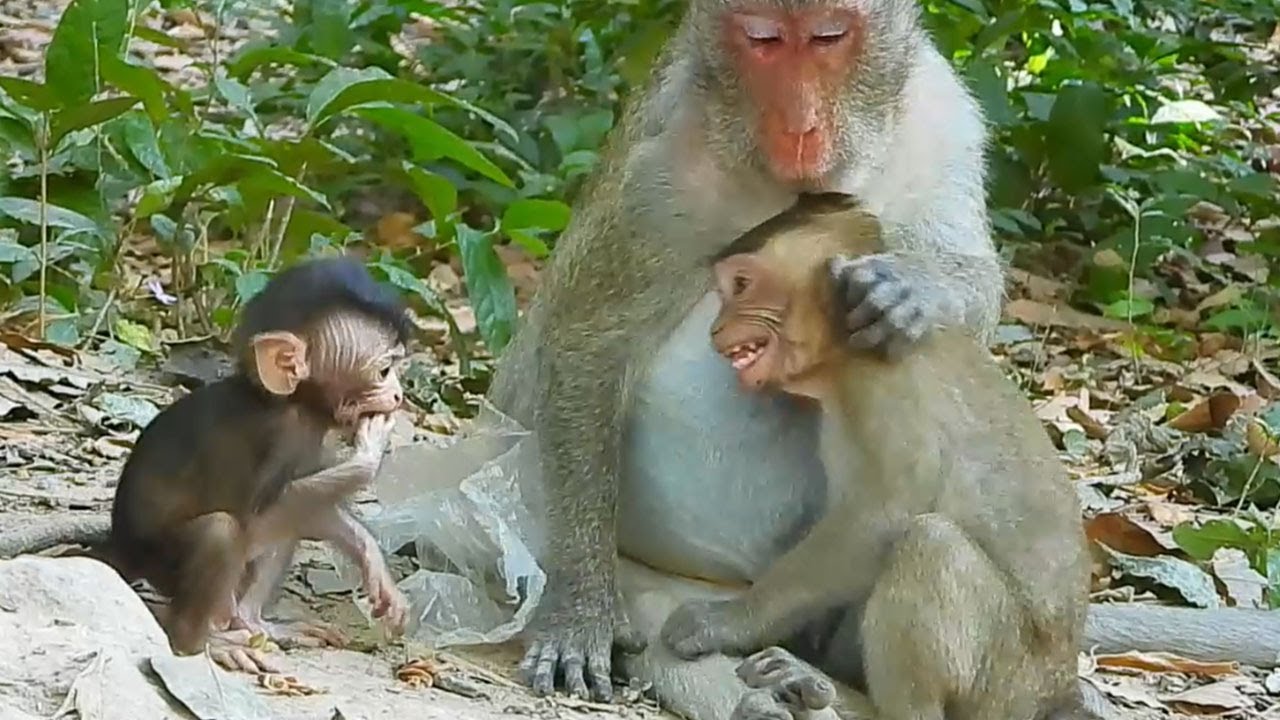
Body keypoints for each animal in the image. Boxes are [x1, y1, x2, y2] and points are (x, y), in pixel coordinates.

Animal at [94, 257, 411, 673]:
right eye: (384, 371)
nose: (399, 395)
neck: (289, 403)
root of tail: (120, 548)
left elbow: (313, 508)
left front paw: (372, 558)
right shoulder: (278, 435)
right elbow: (256, 515)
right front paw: (370, 453)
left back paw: (251, 622)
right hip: (156, 561)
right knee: (221, 531)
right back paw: (204, 642)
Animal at [653, 192, 1091, 719]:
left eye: (740, 285)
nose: (717, 327)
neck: (841, 358)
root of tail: (1058, 688)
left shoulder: (884, 383)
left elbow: (882, 516)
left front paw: (729, 620)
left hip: (1005, 680)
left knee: (930, 543)